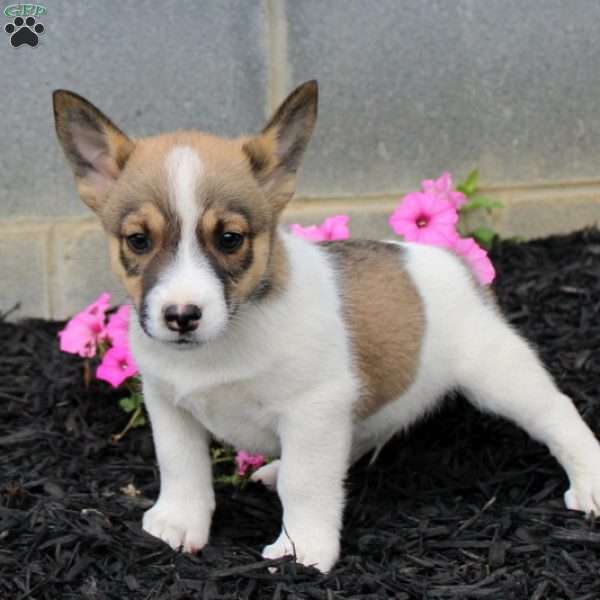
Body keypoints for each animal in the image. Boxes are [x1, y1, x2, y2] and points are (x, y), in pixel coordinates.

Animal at [52, 81, 600, 572]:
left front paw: (302, 550)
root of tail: (456, 261)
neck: (226, 339)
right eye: (138, 241)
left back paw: (590, 481)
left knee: (558, 413)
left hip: (500, 376)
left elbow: (307, 483)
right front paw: (179, 523)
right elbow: (180, 464)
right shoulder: (168, 402)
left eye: (229, 239)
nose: (182, 316)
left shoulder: (313, 409)